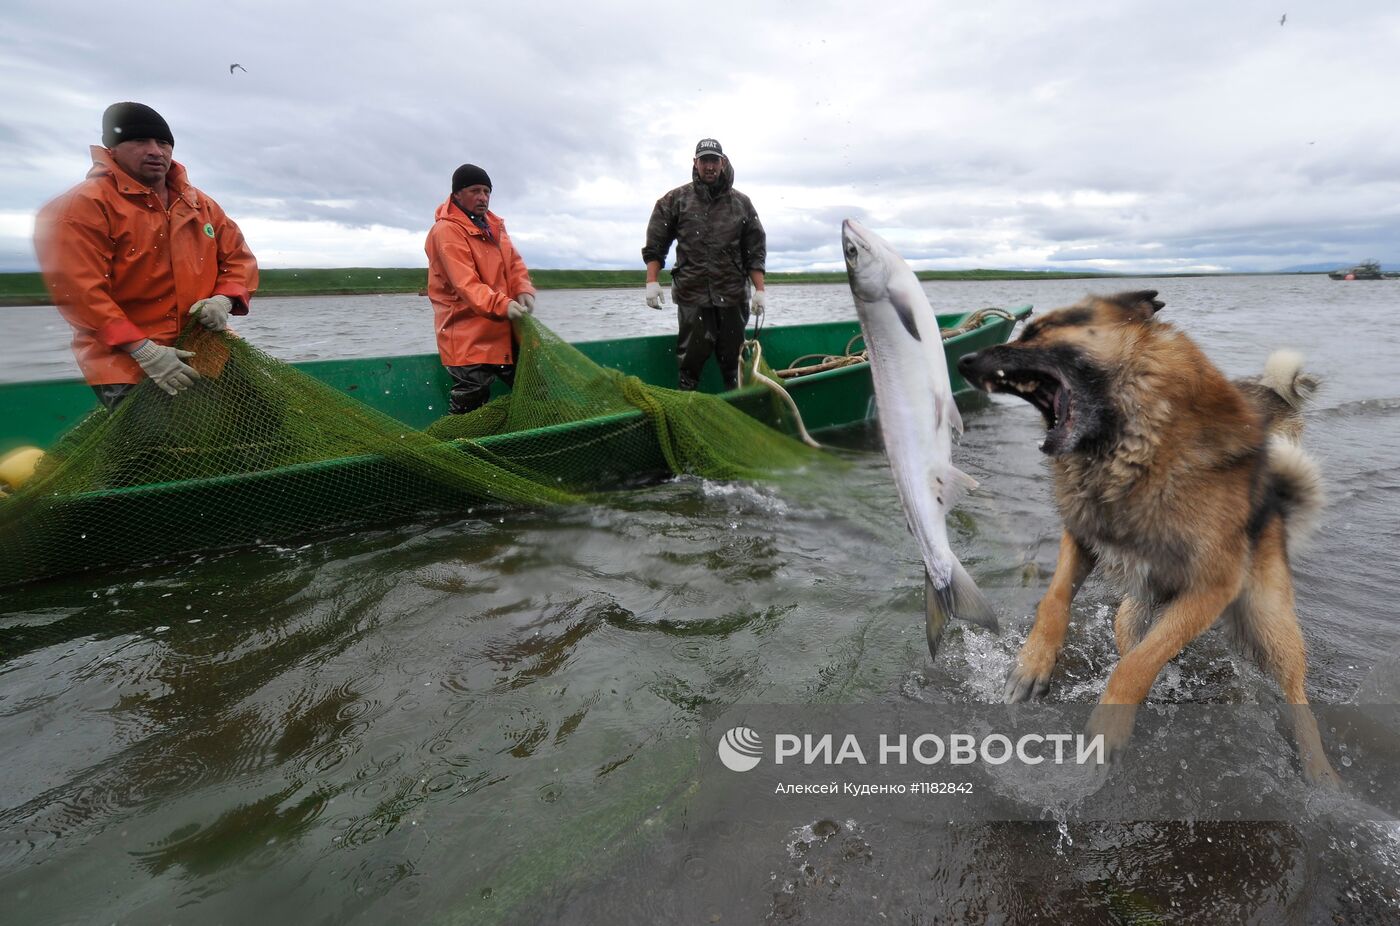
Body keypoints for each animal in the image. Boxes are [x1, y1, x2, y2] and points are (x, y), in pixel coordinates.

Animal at [957, 292, 1338, 784]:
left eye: (1037, 332)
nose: (962, 360)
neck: (1135, 450)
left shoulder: (1212, 586)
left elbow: (1136, 667)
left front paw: (1108, 726)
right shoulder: (1083, 539)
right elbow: (1056, 600)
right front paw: (1031, 664)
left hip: (1271, 624)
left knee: (1296, 694)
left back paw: (1320, 773)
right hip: (1131, 614)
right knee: (1141, 646)